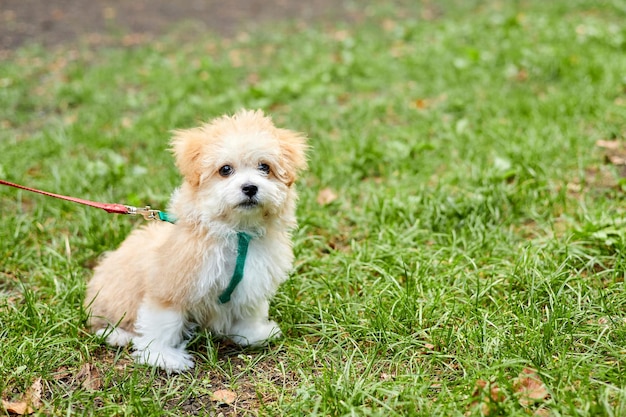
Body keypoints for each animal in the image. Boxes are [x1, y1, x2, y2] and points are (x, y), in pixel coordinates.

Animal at [84, 109, 306, 370]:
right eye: (225, 169)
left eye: (264, 167)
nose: (250, 187)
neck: (236, 233)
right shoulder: (172, 283)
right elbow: (164, 322)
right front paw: (162, 356)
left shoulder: (252, 279)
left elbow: (249, 310)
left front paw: (253, 334)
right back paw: (118, 334)